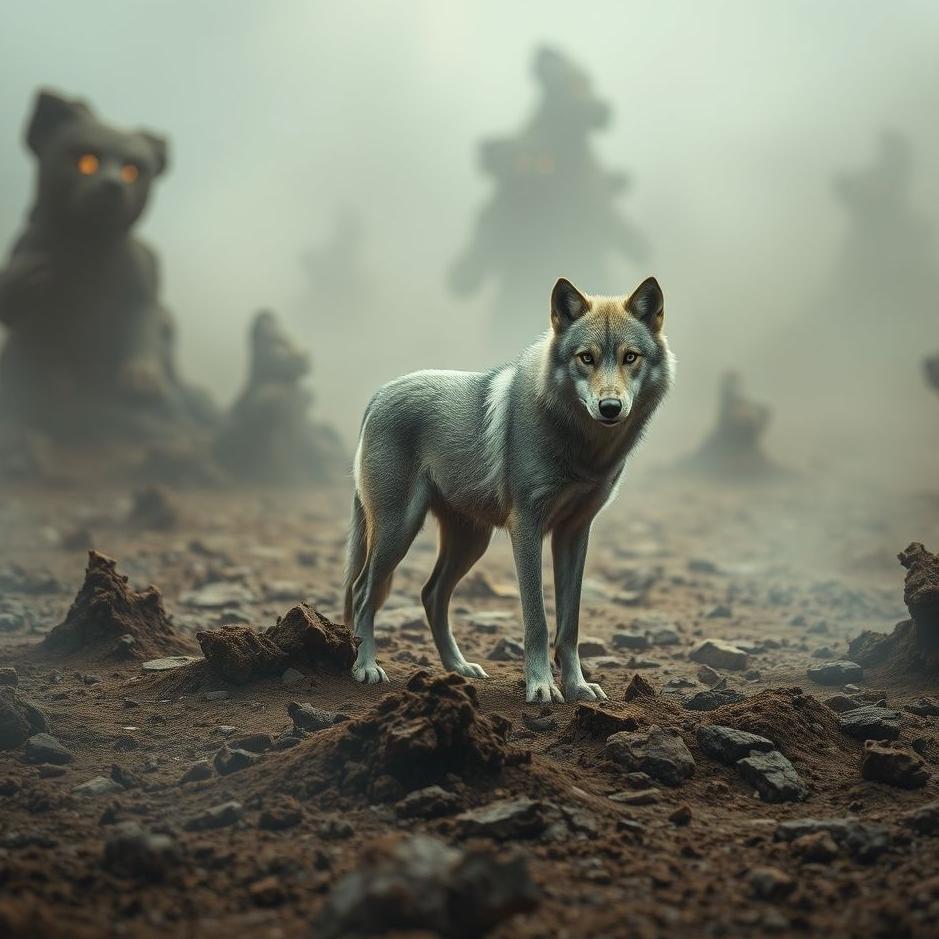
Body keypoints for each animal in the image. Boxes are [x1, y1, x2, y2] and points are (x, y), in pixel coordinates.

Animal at [343, 276, 674, 703]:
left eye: (630, 357)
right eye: (586, 358)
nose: (610, 407)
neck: (581, 446)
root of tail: (378, 395)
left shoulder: (574, 534)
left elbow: (569, 625)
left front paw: (577, 686)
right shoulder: (526, 529)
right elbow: (538, 620)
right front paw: (542, 686)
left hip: (471, 542)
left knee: (431, 594)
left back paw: (459, 667)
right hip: (398, 531)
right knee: (362, 591)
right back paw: (366, 667)